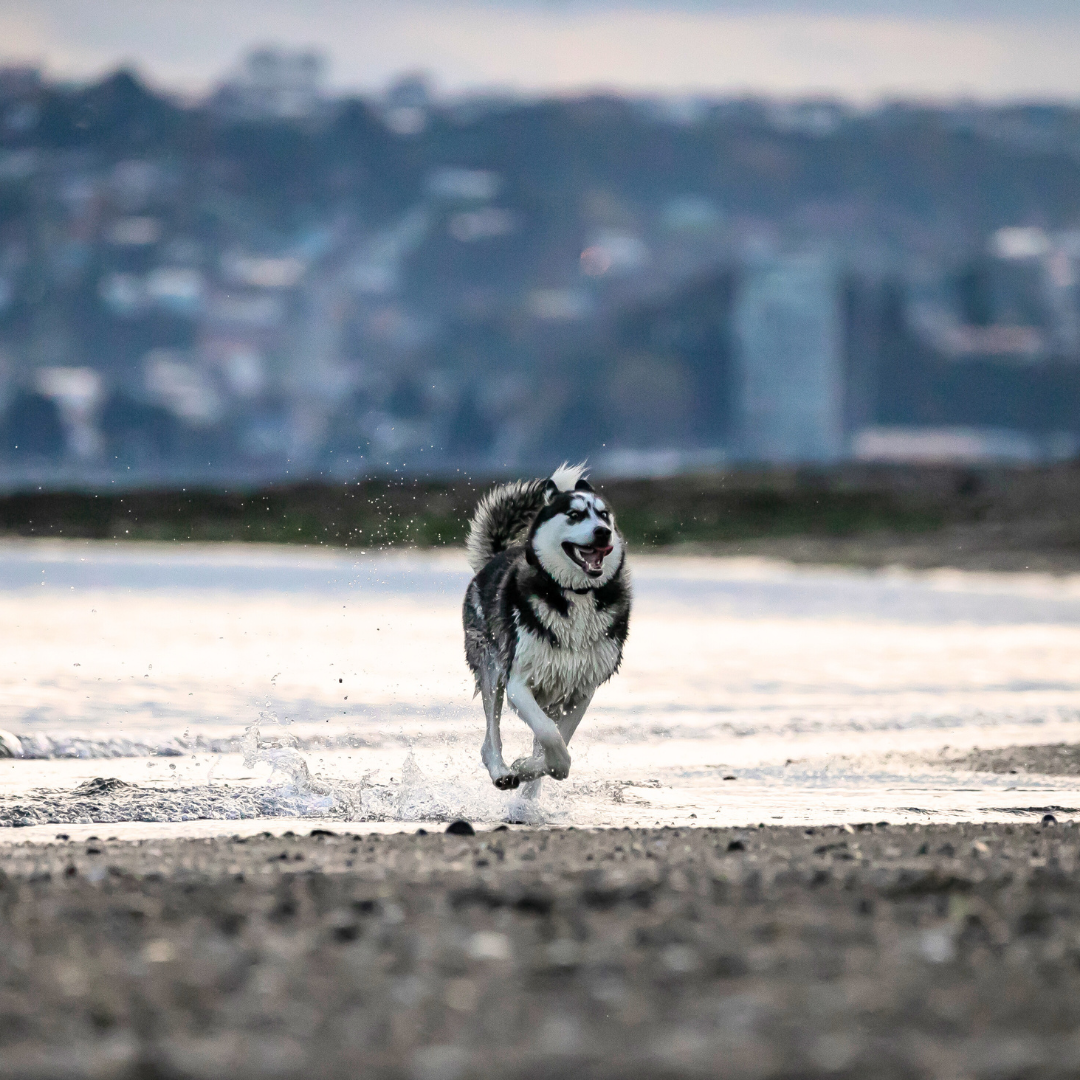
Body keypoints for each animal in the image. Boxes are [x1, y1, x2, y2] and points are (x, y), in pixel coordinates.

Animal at [462, 463, 631, 790]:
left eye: (603, 514)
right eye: (574, 514)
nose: (603, 532)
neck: (576, 594)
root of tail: (497, 556)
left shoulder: (582, 689)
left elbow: (558, 749)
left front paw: (532, 768)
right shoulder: (518, 683)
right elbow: (550, 736)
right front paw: (523, 766)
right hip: (492, 669)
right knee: (490, 737)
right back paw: (502, 772)